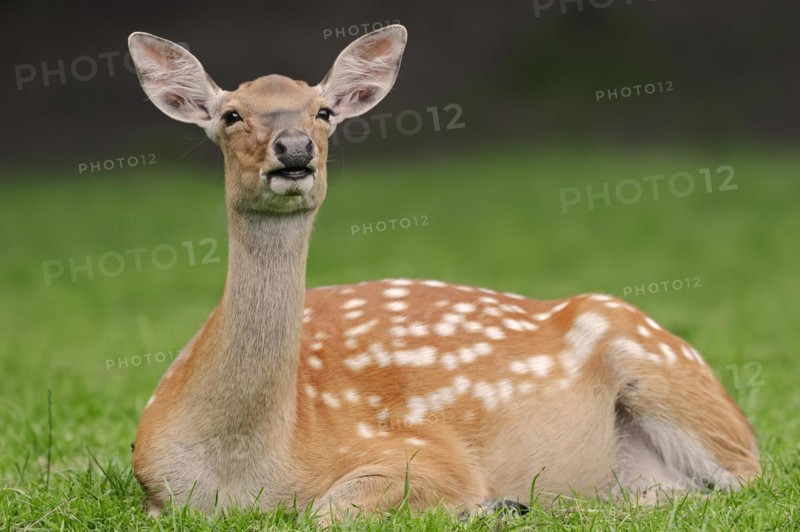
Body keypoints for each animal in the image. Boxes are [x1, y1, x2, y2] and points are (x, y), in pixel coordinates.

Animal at [127, 25, 761, 524]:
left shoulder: (426, 449)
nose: (295, 147)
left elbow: (330, 512)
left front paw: (484, 505)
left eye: (324, 111)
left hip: (669, 374)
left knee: (745, 480)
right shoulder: (150, 484)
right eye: (231, 114)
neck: (246, 472)